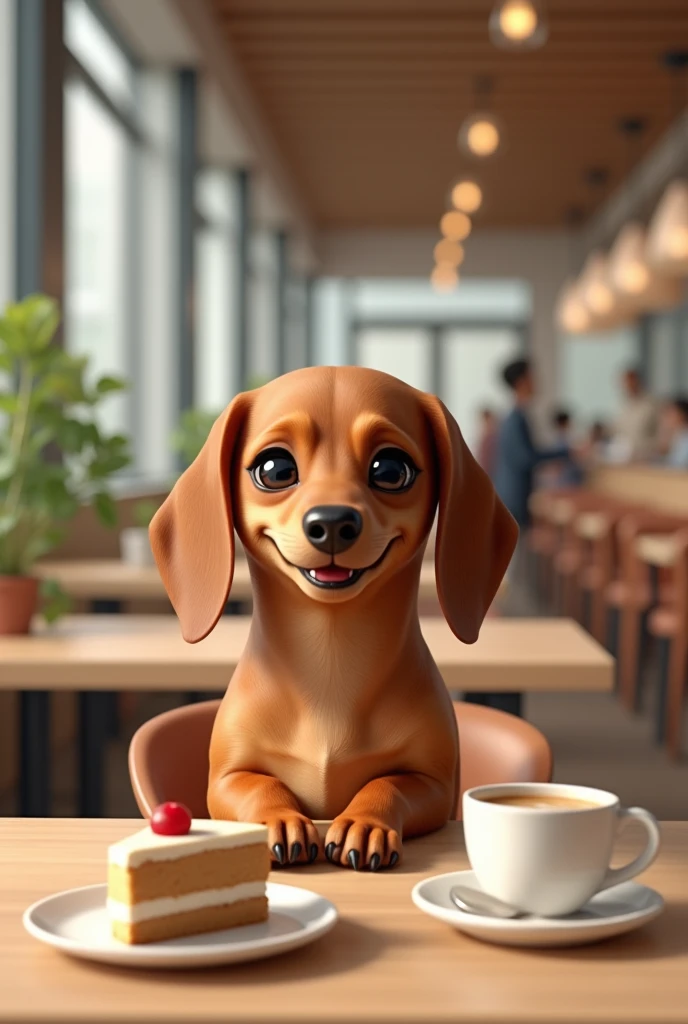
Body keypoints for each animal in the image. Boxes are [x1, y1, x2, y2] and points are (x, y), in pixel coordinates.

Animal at [150, 368, 516, 872]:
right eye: (275, 469)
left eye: (391, 470)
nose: (332, 523)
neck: (330, 664)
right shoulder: (225, 779)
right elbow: (259, 785)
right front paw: (279, 820)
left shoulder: (435, 785)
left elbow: (388, 784)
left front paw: (365, 824)